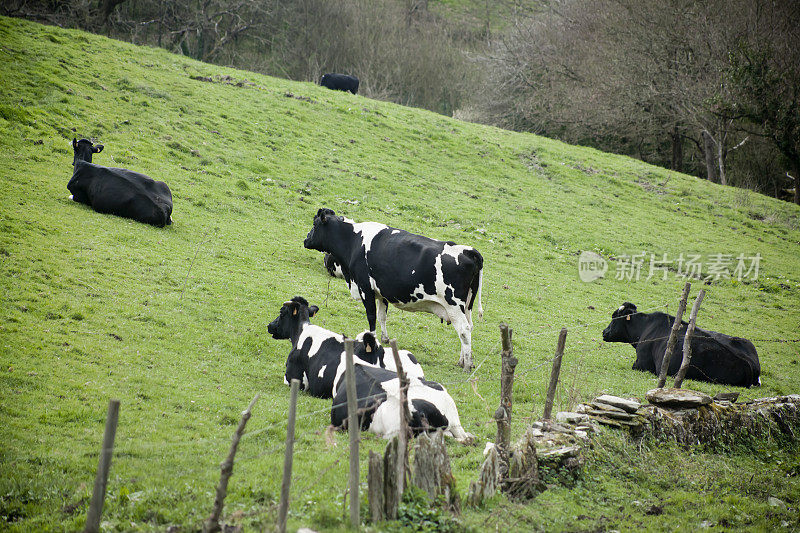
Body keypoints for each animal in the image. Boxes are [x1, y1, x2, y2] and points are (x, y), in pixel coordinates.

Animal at [304, 208, 482, 370]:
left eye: (314, 224)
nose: (305, 239)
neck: (354, 240)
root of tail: (468, 250)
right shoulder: (381, 293)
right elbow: (382, 316)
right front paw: (385, 339)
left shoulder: (365, 288)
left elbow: (371, 316)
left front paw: (373, 338)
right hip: (467, 305)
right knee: (469, 327)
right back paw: (464, 361)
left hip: (453, 305)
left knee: (464, 329)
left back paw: (466, 365)